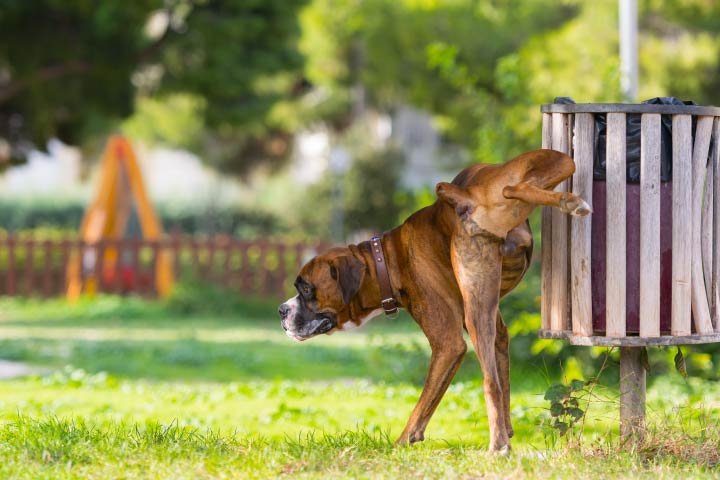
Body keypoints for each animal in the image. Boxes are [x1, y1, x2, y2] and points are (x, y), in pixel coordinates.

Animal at [278, 148, 588, 452]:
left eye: (306, 289)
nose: (282, 310)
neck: (387, 259)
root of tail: (466, 195)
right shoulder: (496, 330)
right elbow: (504, 378)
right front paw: (508, 430)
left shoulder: (447, 344)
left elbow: (423, 404)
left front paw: (401, 442)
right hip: (553, 165)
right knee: (518, 186)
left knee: (489, 383)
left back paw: (496, 446)